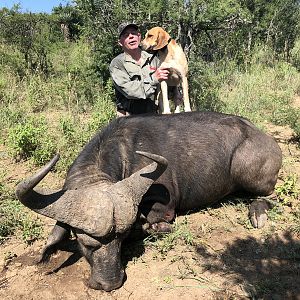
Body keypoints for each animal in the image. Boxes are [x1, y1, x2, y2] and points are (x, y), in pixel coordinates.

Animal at [14, 110, 282, 290]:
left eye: (120, 240)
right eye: (85, 243)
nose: (110, 283)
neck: (123, 152)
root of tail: (267, 139)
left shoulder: (164, 208)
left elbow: (153, 223)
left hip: (248, 173)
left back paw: (258, 213)